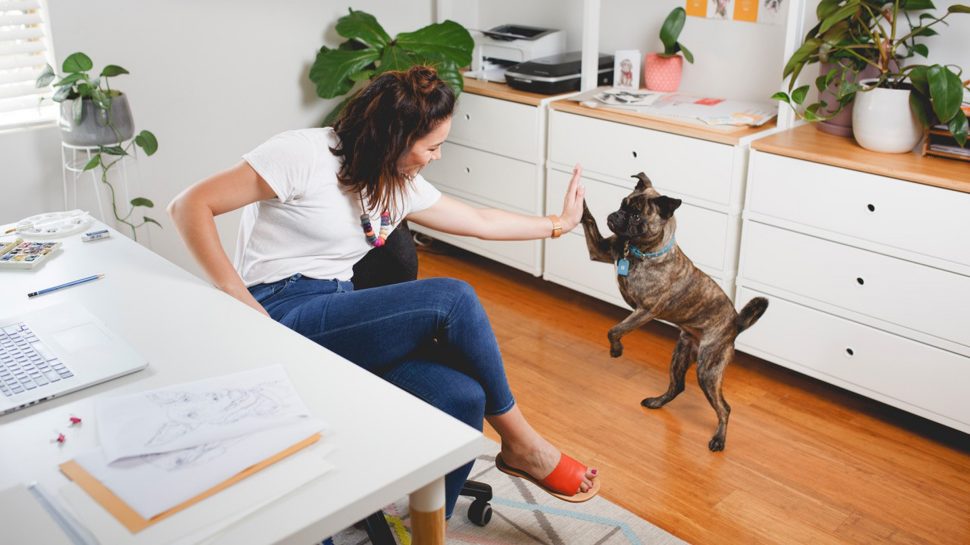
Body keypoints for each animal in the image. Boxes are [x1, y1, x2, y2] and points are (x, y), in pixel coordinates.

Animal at [580, 172, 768, 448]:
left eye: (637, 216)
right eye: (622, 203)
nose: (616, 215)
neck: (640, 251)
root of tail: (736, 324)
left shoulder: (644, 311)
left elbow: (614, 330)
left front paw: (616, 350)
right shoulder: (599, 250)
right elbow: (589, 218)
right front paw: (577, 197)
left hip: (708, 371)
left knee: (724, 407)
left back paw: (718, 440)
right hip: (681, 354)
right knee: (677, 387)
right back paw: (656, 402)